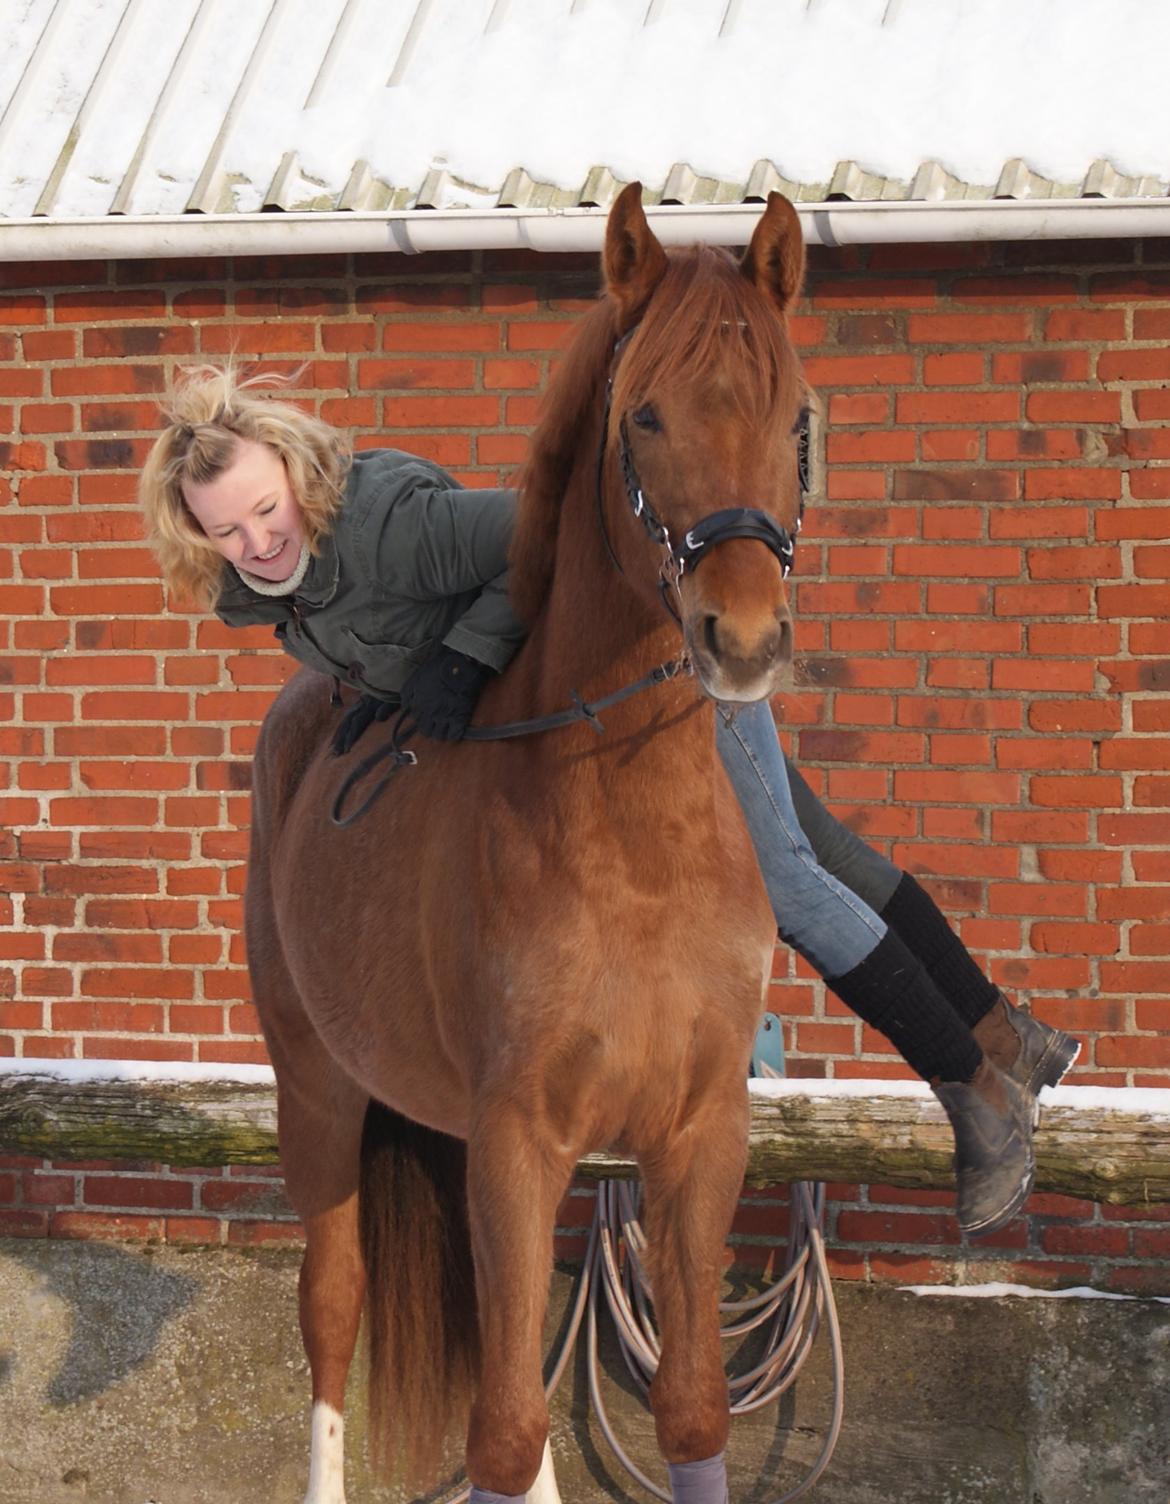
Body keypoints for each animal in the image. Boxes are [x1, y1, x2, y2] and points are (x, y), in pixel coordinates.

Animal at [246, 188, 806, 1504]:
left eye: (797, 413)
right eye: (644, 413)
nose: (743, 636)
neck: (634, 842)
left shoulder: (699, 1139)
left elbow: (688, 1406)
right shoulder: (515, 1142)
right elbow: (499, 1421)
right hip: (320, 1091)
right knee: (333, 1307)